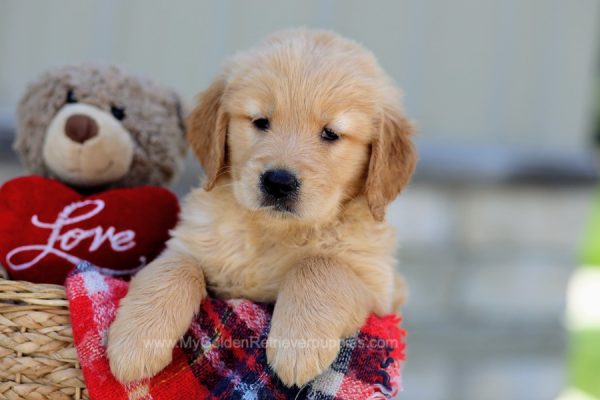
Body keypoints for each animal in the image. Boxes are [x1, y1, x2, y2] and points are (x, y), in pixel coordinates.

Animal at [108, 28, 414, 388]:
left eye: (331, 133)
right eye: (260, 121)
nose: (278, 182)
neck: (273, 231)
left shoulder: (380, 289)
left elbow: (319, 265)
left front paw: (298, 345)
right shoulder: (188, 243)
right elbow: (174, 268)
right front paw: (136, 341)